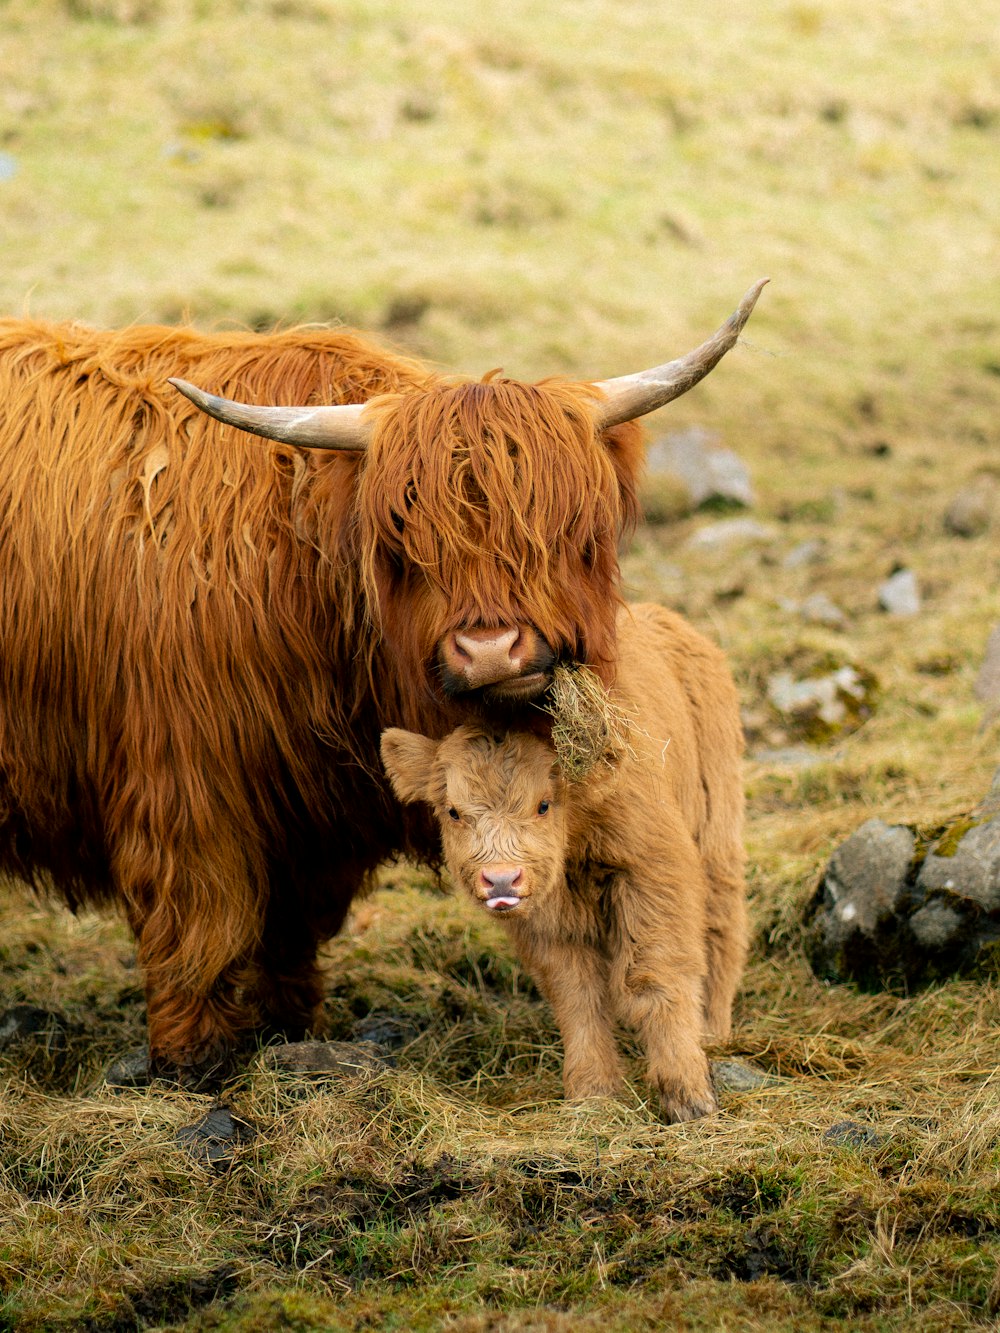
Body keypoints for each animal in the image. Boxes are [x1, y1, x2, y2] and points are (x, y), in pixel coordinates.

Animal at [378, 607, 746, 1125]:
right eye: (452, 811)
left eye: (543, 804)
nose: (501, 879)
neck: (577, 833)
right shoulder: (548, 924)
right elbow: (577, 995)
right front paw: (594, 1095)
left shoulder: (652, 875)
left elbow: (656, 975)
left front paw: (689, 1096)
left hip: (717, 832)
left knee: (722, 927)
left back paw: (714, 1031)